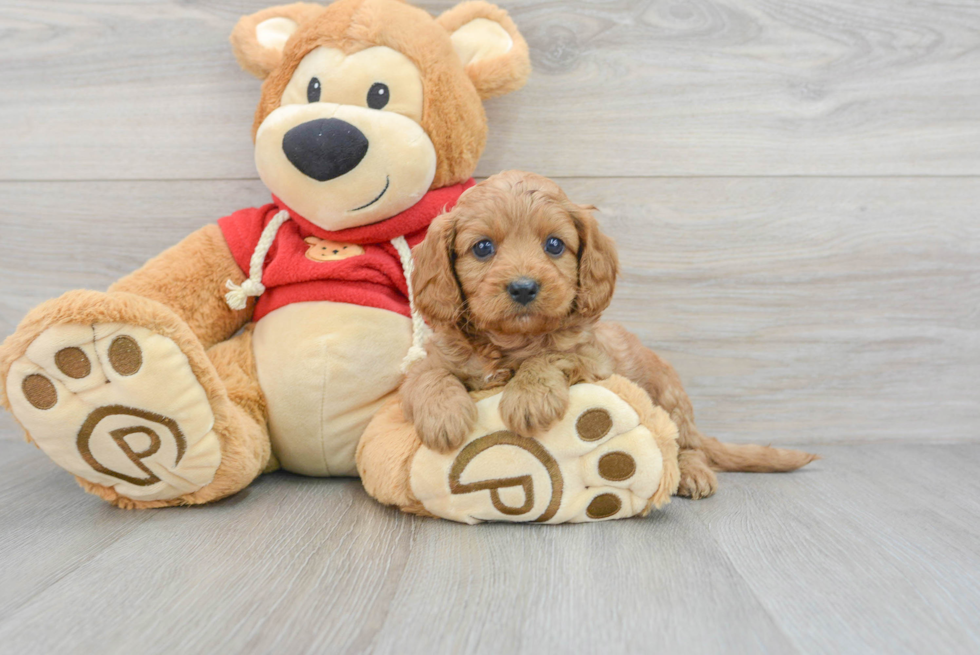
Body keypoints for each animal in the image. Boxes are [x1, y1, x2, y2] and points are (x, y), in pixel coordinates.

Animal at [402, 169, 816, 498]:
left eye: (554, 244)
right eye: (483, 247)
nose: (523, 288)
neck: (512, 342)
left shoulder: (593, 358)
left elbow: (550, 355)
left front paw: (530, 397)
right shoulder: (431, 360)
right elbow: (429, 375)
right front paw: (443, 416)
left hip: (670, 395)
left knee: (686, 445)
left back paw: (692, 474)